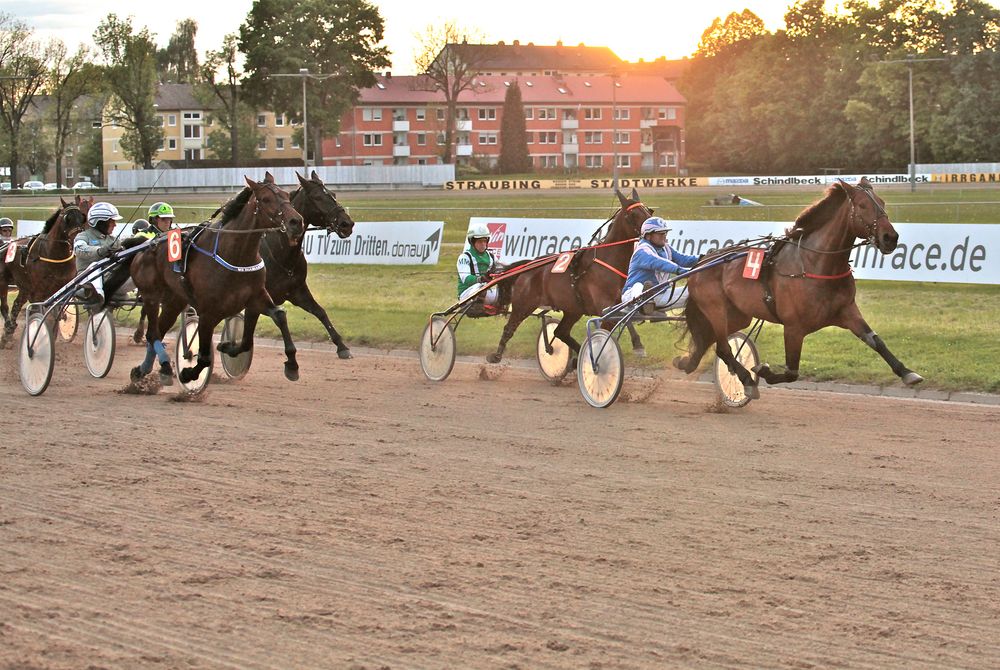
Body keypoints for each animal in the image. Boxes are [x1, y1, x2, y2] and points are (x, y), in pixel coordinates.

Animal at [0, 194, 91, 342]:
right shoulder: (38, 293)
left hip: (24, 286)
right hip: (4, 281)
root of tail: (7, 244)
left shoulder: (61, 290)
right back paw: (8, 328)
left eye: (82, 217)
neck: (54, 256)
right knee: (5, 306)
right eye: (67, 219)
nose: (77, 239)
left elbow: (57, 314)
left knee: (17, 304)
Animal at [131, 173, 306, 388]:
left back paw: (146, 370)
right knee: (153, 333)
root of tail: (145, 246)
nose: (296, 221)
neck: (235, 254)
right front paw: (188, 373)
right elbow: (204, 357)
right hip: (151, 296)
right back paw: (160, 367)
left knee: (158, 332)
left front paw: (291, 364)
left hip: (174, 300)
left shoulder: (256, 297)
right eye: (266, 199)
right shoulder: (208, 313)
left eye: (286, 196)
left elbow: (269, 324)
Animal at [486, 189, 656, 364]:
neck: (609, 261)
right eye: (633, 214)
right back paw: (496, 355)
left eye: (648, 211)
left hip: (573, 309)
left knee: (560, 332)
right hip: (523, 305)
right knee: (509, 328)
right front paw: (638, 345)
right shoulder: (604, 306)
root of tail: (528, 266)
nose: (654, 227)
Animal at [676, 178, 924, 400]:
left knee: (710, 341)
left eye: (882, 203)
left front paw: (908, 373)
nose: (890, 237)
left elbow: (876, 341)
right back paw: (746, 380)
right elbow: (791, 372)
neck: (816, 265)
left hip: (738, 315)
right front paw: (762, 370)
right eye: (863, 205)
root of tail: (703, 260)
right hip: (716, 309)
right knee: (723, 348)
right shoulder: (793, 327)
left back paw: (687, 362)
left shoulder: (847, 311)